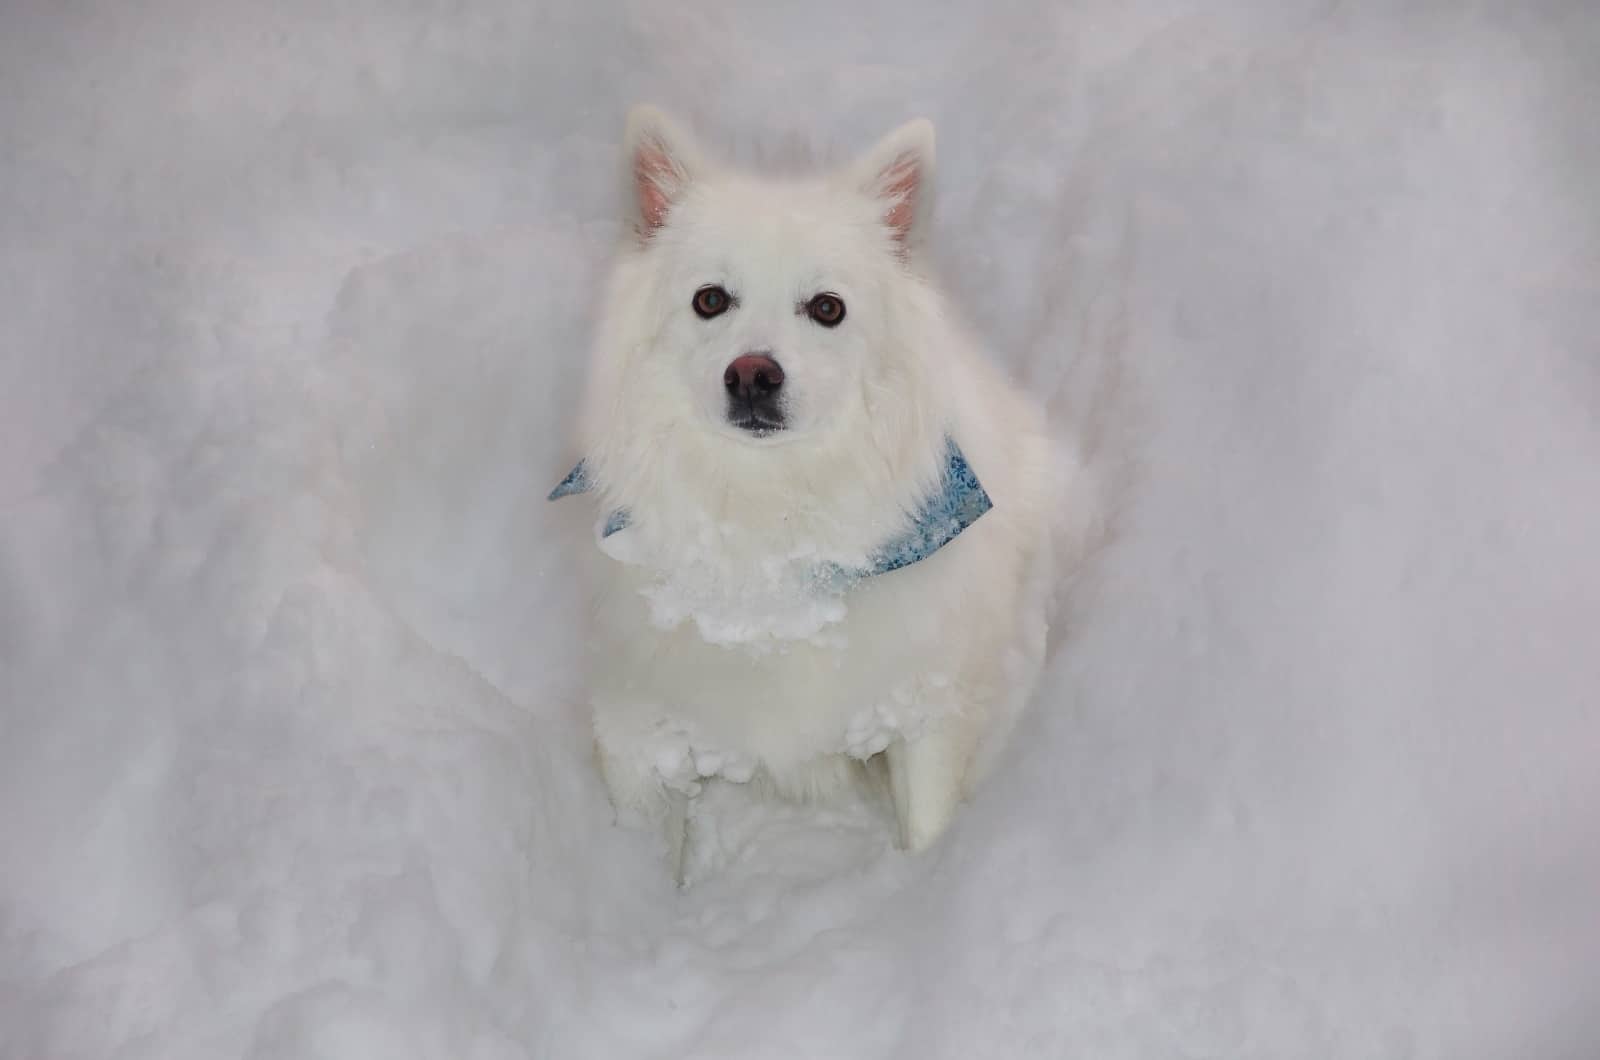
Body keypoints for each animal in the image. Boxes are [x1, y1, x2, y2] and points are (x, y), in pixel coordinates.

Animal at [556, 105, 1068, 877]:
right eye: (710, 300)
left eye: (828, 308)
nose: (753, 375)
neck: (771, 529)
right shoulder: (637, 729)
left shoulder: (923, 708)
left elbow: (926, 822)